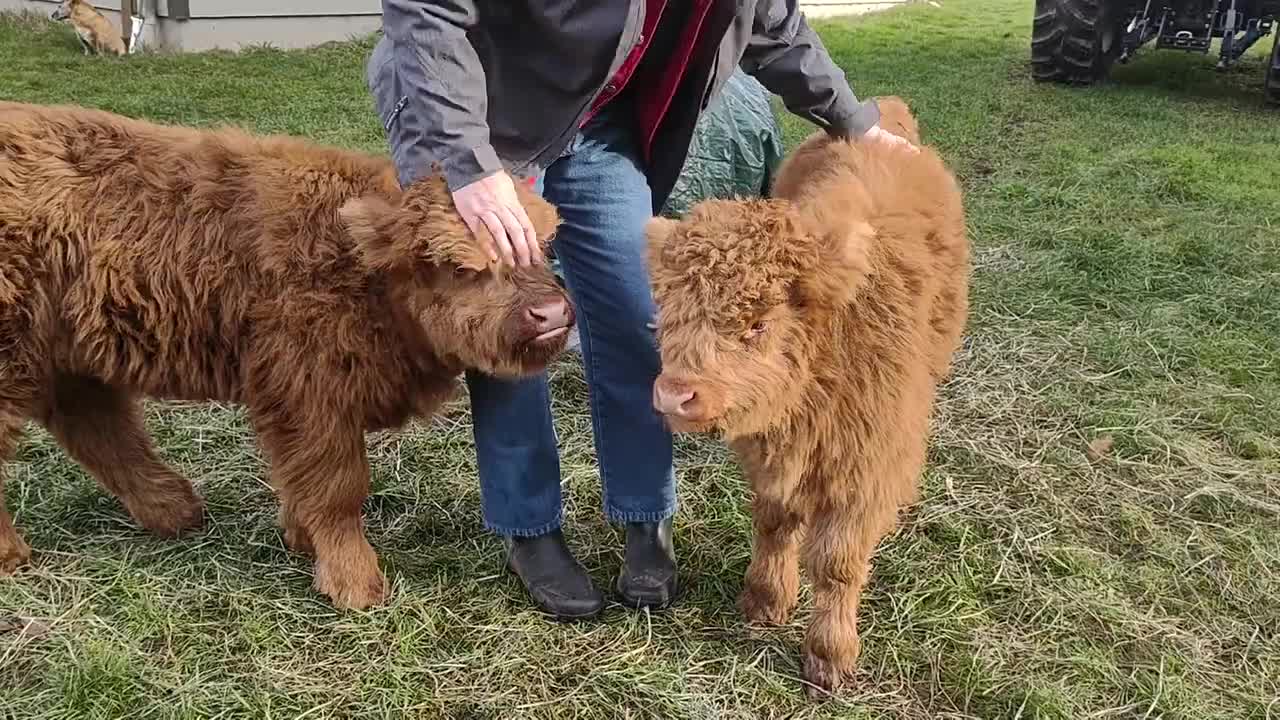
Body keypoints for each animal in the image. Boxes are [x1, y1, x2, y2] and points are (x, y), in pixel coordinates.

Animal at [0, 99, 573, 604]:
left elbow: (305, 480)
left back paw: (175, 511)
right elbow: (337, 487)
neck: (361, 274)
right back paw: (15, 554)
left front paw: (300, 539)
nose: (549, 313)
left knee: (97, 427)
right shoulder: (309, 393)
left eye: (543, 248)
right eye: (459, 267)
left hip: (67, 356)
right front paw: (354, 584)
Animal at [650, 96, 967, 696]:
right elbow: (775, 524)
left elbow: (838, 566)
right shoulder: (771, 458)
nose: (676, 395)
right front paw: (766, 599)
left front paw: (830, 655)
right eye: (669, 312)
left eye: (757, 323)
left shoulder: (864, 468)